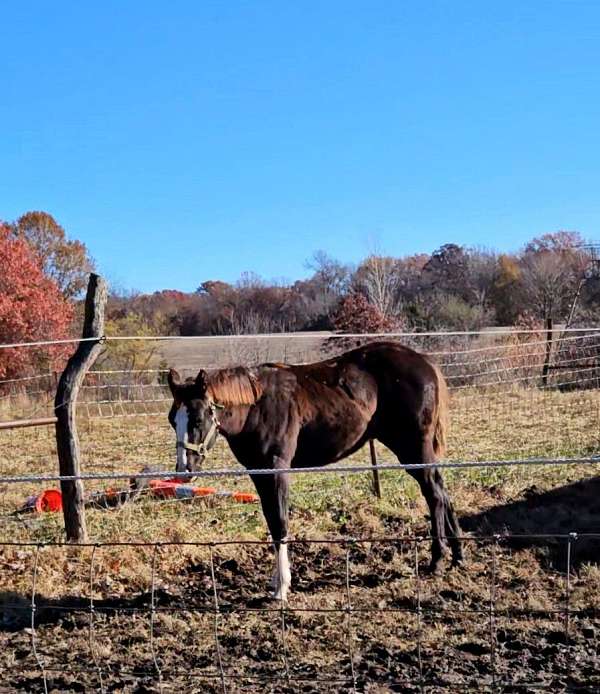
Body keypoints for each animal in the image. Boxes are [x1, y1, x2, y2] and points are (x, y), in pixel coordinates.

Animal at [169, 340, 464, 600]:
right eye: (173, 420)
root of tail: (425, 361)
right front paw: (276, 581)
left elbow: (280, 523)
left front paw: (282, 588)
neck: (258, 406)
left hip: (413, 449)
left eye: (197, 419)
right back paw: (458, 556)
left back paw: (438, 560)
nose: (184, 469)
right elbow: (271, 521)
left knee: (434, 495)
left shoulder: (277, 469)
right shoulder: (259, 472)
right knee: (442, 490)